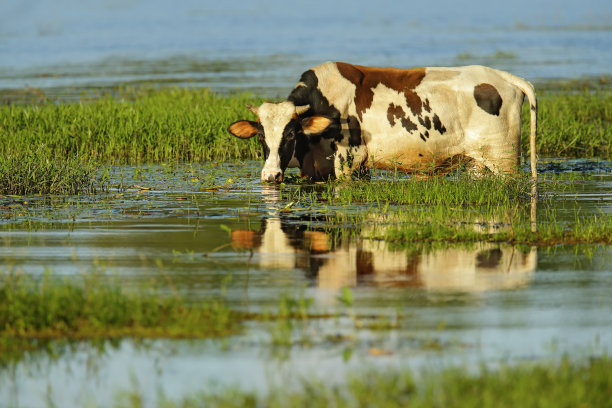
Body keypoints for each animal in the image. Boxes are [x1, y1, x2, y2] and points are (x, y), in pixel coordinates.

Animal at [228, 61, 536, 183]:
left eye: (291, 134)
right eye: (261, 136)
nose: (270, 176)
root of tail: (499, 76)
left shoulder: (348, 162)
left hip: (504, 160)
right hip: (479, 164)